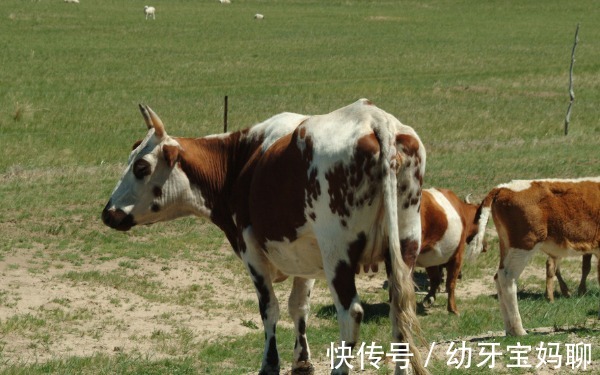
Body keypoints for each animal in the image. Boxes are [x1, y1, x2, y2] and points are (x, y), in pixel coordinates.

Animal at [104, 100, 432, 375]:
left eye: (141, 167)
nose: (108, 213)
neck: (240, 161)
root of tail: (374, 119)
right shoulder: (305, 258)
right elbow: (298, 307)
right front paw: (302, 360)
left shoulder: (251, 252)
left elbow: (269, 309)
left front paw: (270, 362)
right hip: (404, 248)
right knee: (399, 314)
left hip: (337, 255)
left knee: (351, 314)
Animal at [478, 179, 600, 338]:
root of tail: (503, 188)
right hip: (524, 244)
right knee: (507, 278)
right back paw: (519, 330)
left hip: (507, 245)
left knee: (498, 277)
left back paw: (510, 329)